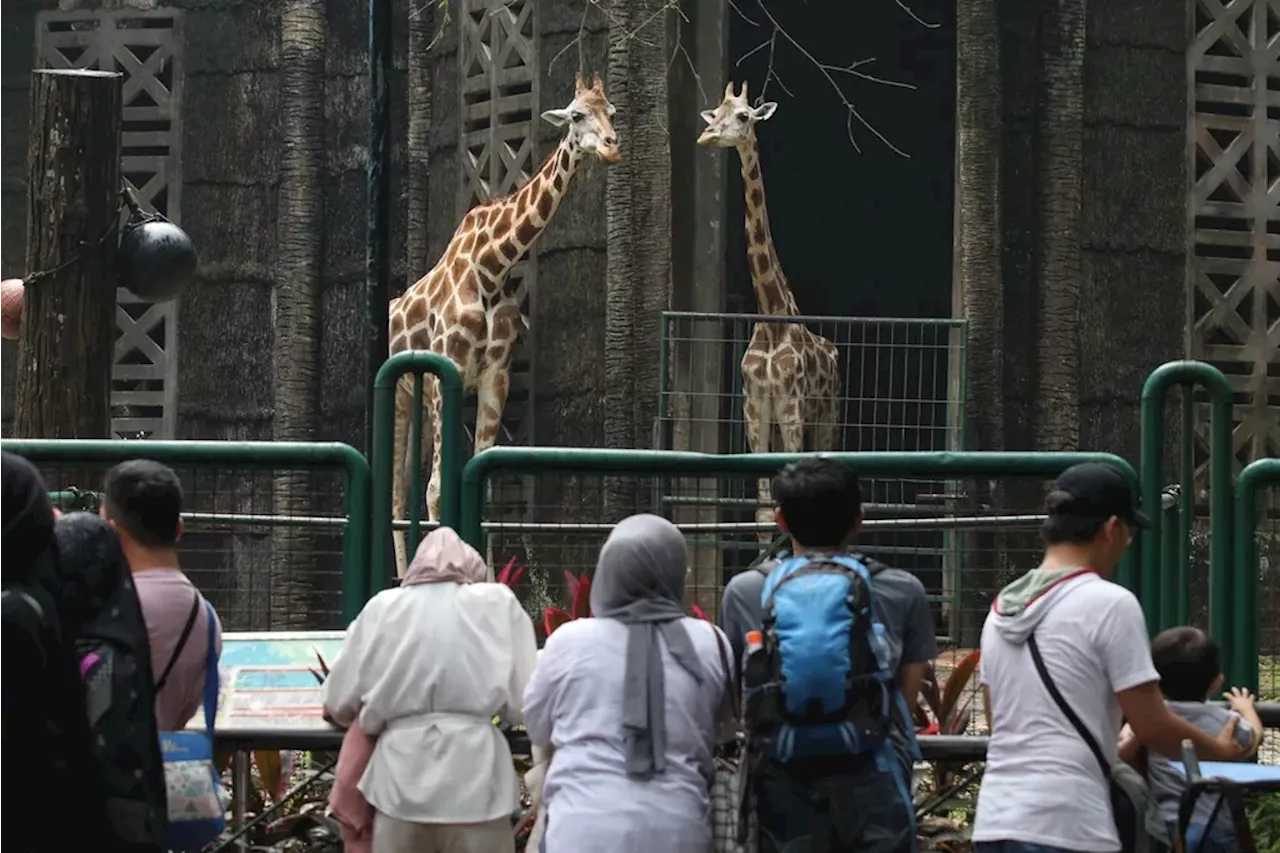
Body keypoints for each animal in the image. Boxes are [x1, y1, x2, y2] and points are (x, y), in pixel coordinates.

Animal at [696, 81, 844, 537]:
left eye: (744, 116)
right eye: (715, 113)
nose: (706, 137)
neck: (771, 313)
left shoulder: (792, 408)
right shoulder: (756, 408)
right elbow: (763, 513)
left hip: (827, 415)